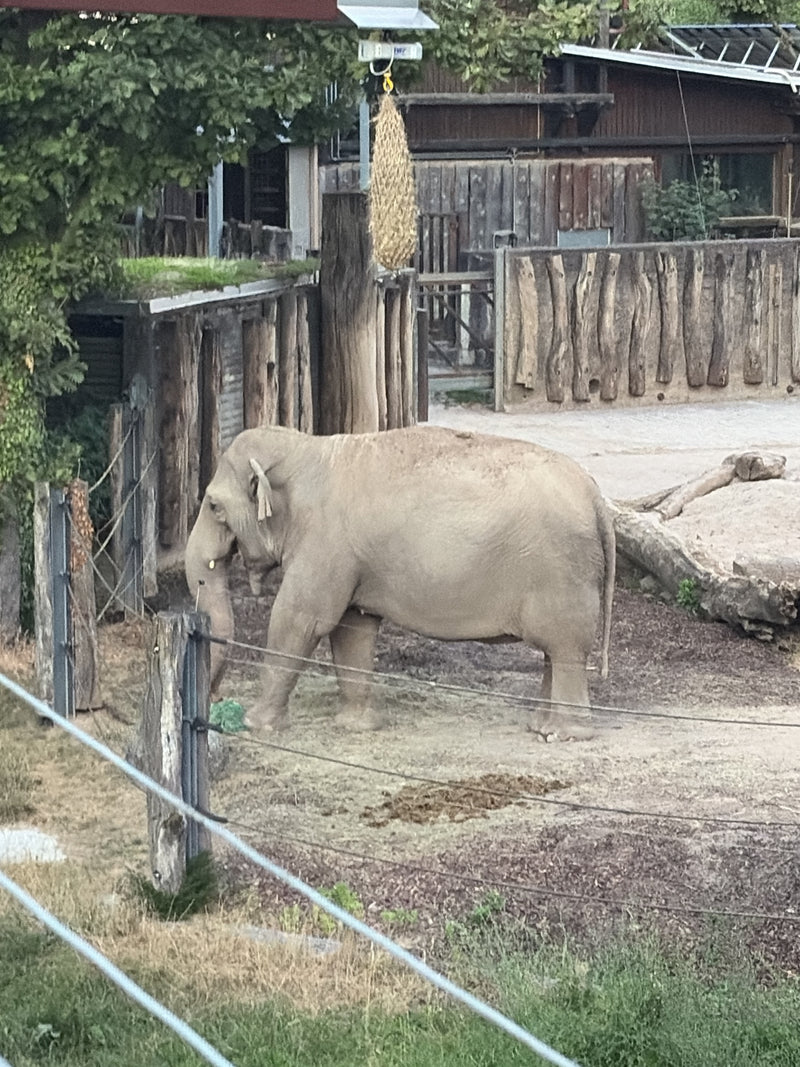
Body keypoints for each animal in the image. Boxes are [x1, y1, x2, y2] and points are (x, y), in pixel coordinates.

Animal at [184, 424, 615, 741]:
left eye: (213, 505)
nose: (217, 698)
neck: (308, 447)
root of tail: (596, 496)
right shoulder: (351, 557)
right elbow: (352, 628)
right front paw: (356, 726)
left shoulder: (325, 544)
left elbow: (301, 620)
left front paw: (255, 725)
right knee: (554, 653)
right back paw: (540, 727)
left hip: (562, 573)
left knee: (565, 649)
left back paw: (564, 734)